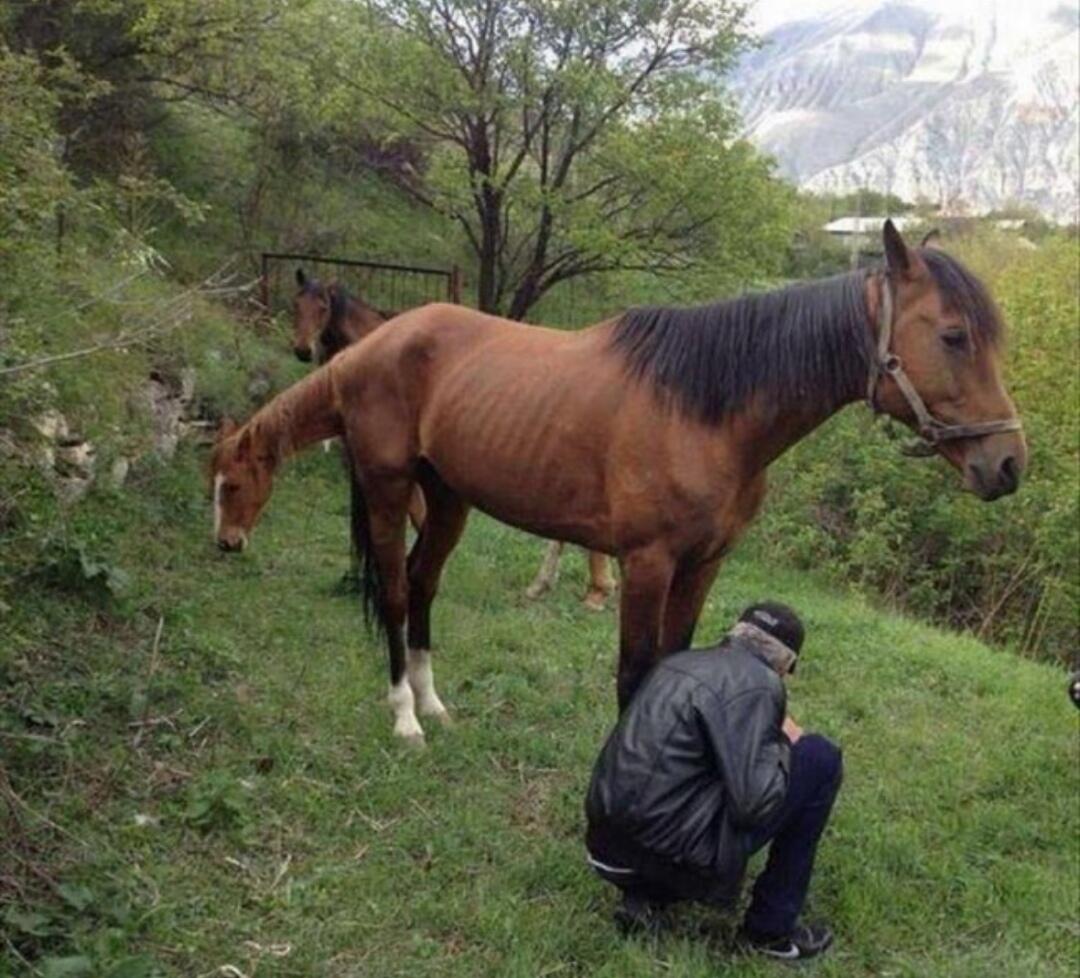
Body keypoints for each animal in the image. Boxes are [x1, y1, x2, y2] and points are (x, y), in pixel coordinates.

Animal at [212, 223, 1028, 738]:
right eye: (953, 335)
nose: (1009, 464)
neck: (706, 408)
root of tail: (378, 344)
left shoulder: (702, 565)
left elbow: (670, 662)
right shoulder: (647, 563)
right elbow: (633, 674)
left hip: (446, 499)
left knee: (421, 585)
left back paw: (432, 702)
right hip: (388, 490)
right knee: (391, 588)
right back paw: (405, 717)